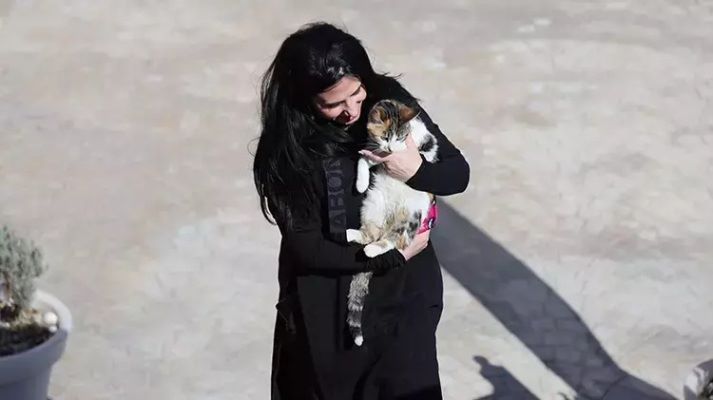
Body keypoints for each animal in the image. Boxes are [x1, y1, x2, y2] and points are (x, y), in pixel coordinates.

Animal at [345, 99, 439, 346]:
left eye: (400, 136)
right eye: (386, 136)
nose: (392, 149)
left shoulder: (427, 141)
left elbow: (424, 154)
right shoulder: (374, 150)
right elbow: (363, 160)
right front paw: (360, 183)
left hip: (410, 216)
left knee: (395, 241)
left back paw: (371, 250)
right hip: (373, 204)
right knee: (371, 234)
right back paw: (352, 236)